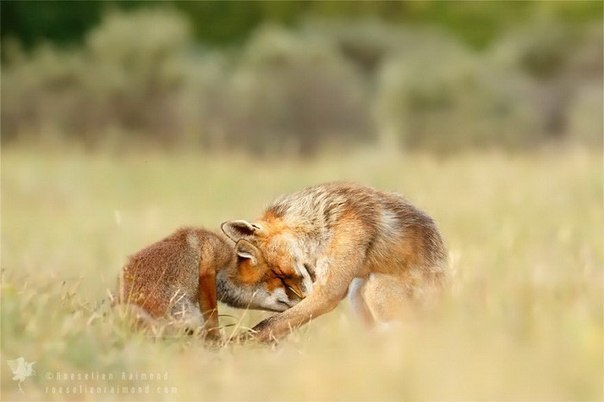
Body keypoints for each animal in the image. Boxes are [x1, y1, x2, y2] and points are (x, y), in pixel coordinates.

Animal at [223, 182, 448, 342]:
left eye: (280, 271)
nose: (301, 296)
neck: (324, 223)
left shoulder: (329, 290)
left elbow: (268, 324)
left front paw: (233, 348)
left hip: (375, 284)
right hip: (357, 290)